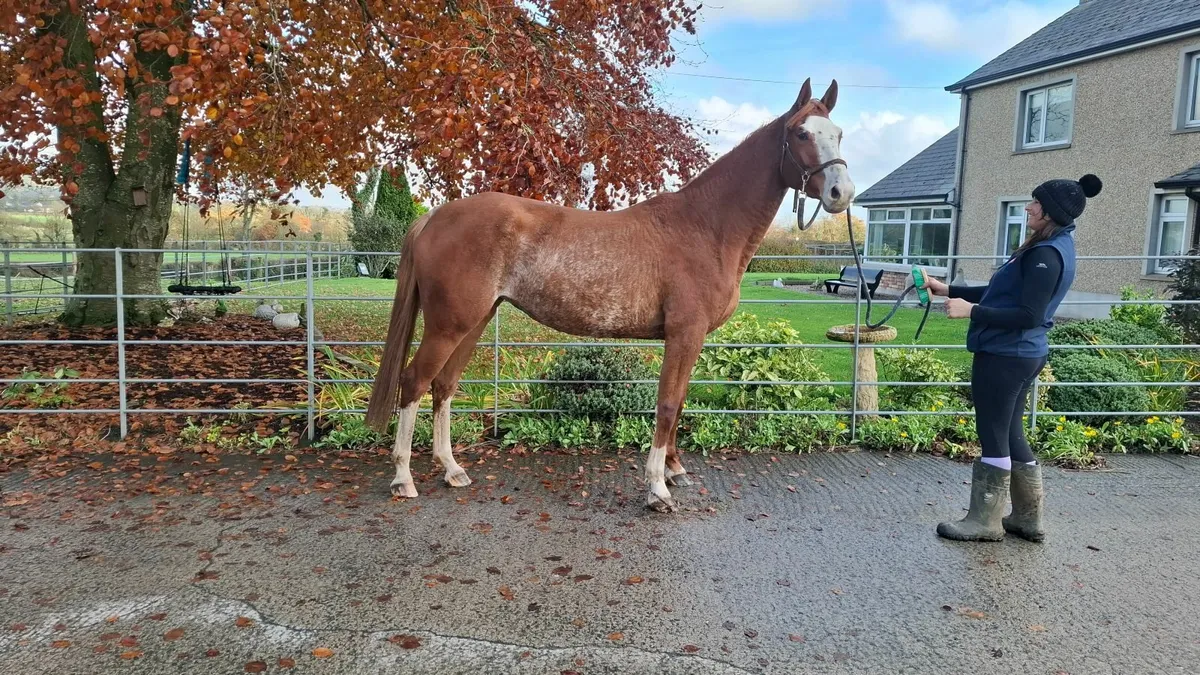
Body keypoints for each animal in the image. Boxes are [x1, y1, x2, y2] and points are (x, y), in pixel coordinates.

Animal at [365, 78, 855, 512]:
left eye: (838, 133)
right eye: (801, 133)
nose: (841, 193)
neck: (705, 227)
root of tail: (433, 217)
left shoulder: (691, 339)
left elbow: (680, 401)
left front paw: (674, 469)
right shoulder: (684, 334)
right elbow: (668, 404)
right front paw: (657, 488)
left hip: (475, 321)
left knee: (444, 386)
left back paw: (452, 469)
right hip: (449, 326)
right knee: (414, 382)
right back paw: (403, 478)